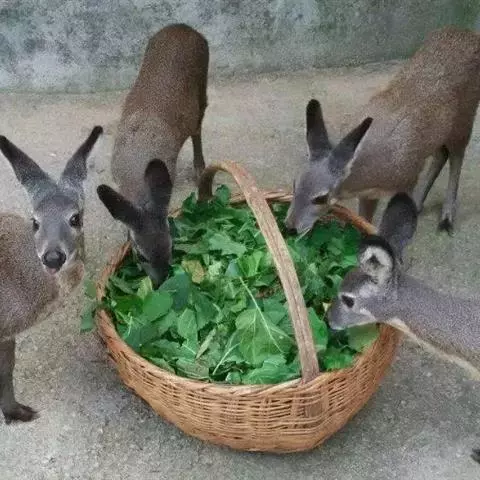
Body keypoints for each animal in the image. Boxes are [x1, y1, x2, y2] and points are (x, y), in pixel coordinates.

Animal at [0, 126, 102, 423]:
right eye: (35, 221)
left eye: (75, 218)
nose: (53, 257)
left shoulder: (7, 332)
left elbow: (8, 366)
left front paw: (16, 412)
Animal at [96, 23, 209, 286]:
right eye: (141, 255)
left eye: (171, 247)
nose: (160, 283)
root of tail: (184, 27)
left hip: (202, 80)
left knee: (199, 123)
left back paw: (200, 168)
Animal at [285, 26, 480, 235]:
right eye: (295, 183)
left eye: (321, 197)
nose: (290, 226)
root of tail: (469, 34)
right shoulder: (369, 194)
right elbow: (364, 219)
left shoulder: (409, 178)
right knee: (441, 154)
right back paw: (420, 205)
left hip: (465, 118)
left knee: (457, 156)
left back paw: (446, 218)